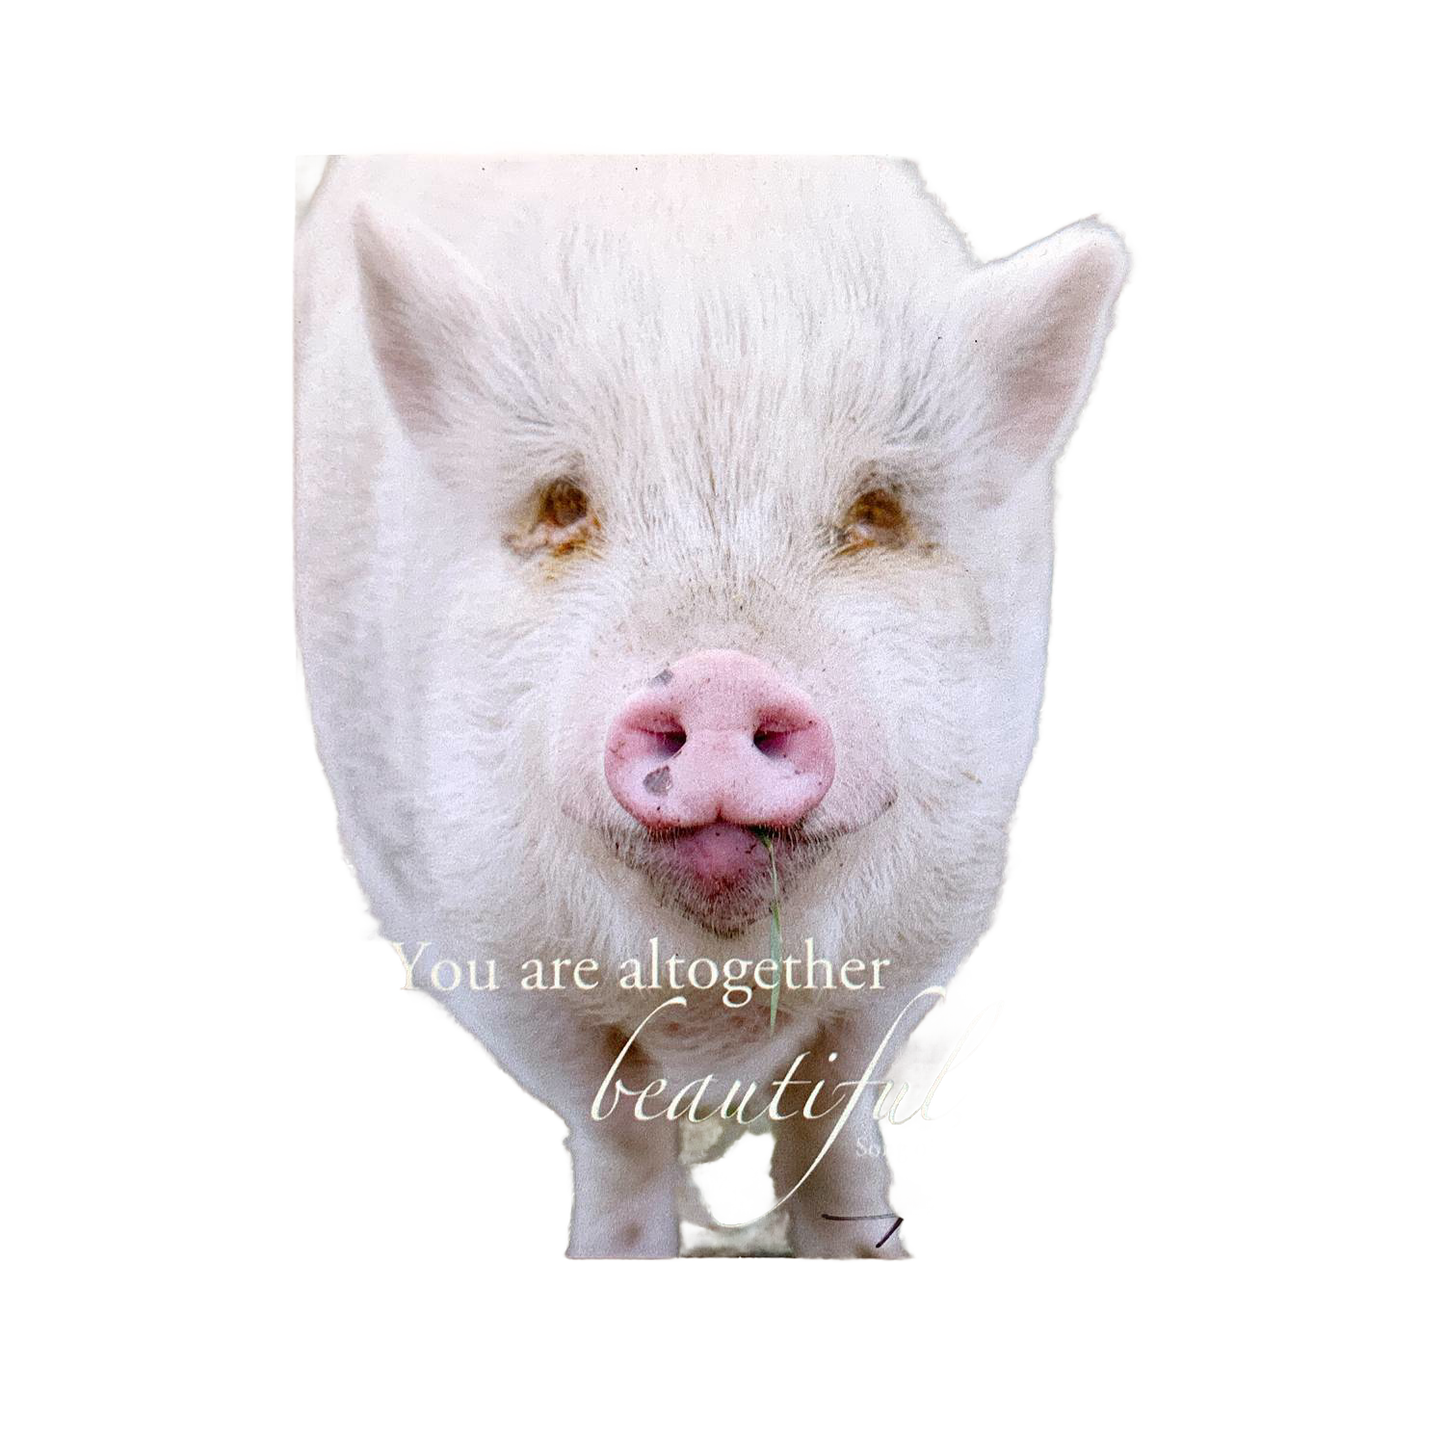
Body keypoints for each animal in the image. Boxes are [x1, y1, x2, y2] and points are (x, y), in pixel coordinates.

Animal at [288, 142, 1140, 1261]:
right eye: (562, 504)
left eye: (878, 512)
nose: (718, 674)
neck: (712, 994)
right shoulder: (484, 942)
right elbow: (611, 1121)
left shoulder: (929, 919)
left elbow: (834, 1100)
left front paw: (861, 1246)